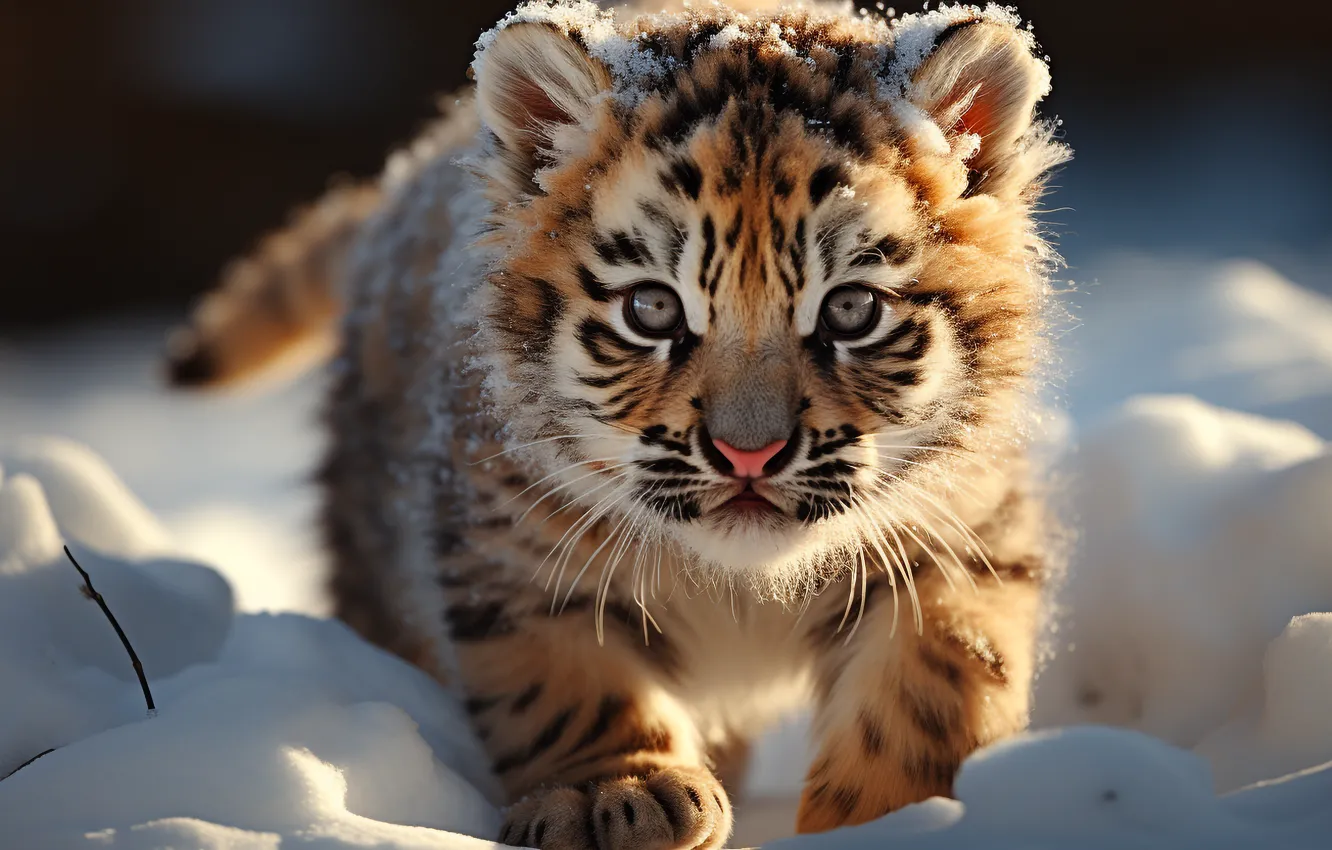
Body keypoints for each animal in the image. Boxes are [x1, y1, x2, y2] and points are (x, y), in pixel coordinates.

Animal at [165, 2, 1070, 847]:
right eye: (651, 309)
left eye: (849, 310)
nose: (750, 454)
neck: (743, 583)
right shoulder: (514, 557)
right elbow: (566, 685)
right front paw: (616, 796)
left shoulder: (961, 531)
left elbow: (938, 682)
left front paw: (891, 825)